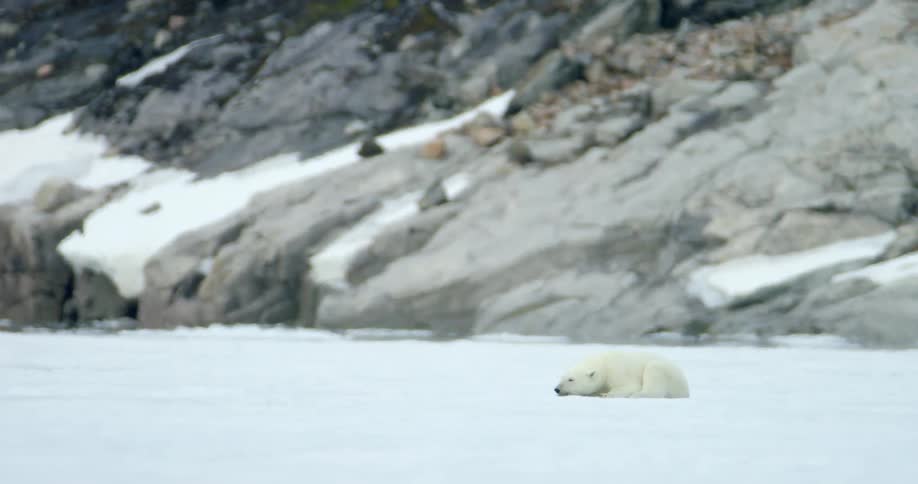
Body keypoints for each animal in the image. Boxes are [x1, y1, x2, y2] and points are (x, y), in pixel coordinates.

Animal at [554, 350, 690, 398]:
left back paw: (638, 395)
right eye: (562, 377)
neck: (604, 364)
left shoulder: (618, 371)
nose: (557, 389)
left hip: (666, 372)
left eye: (571, 379)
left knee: (654, 371)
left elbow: (629, 386)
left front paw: (606, 394)